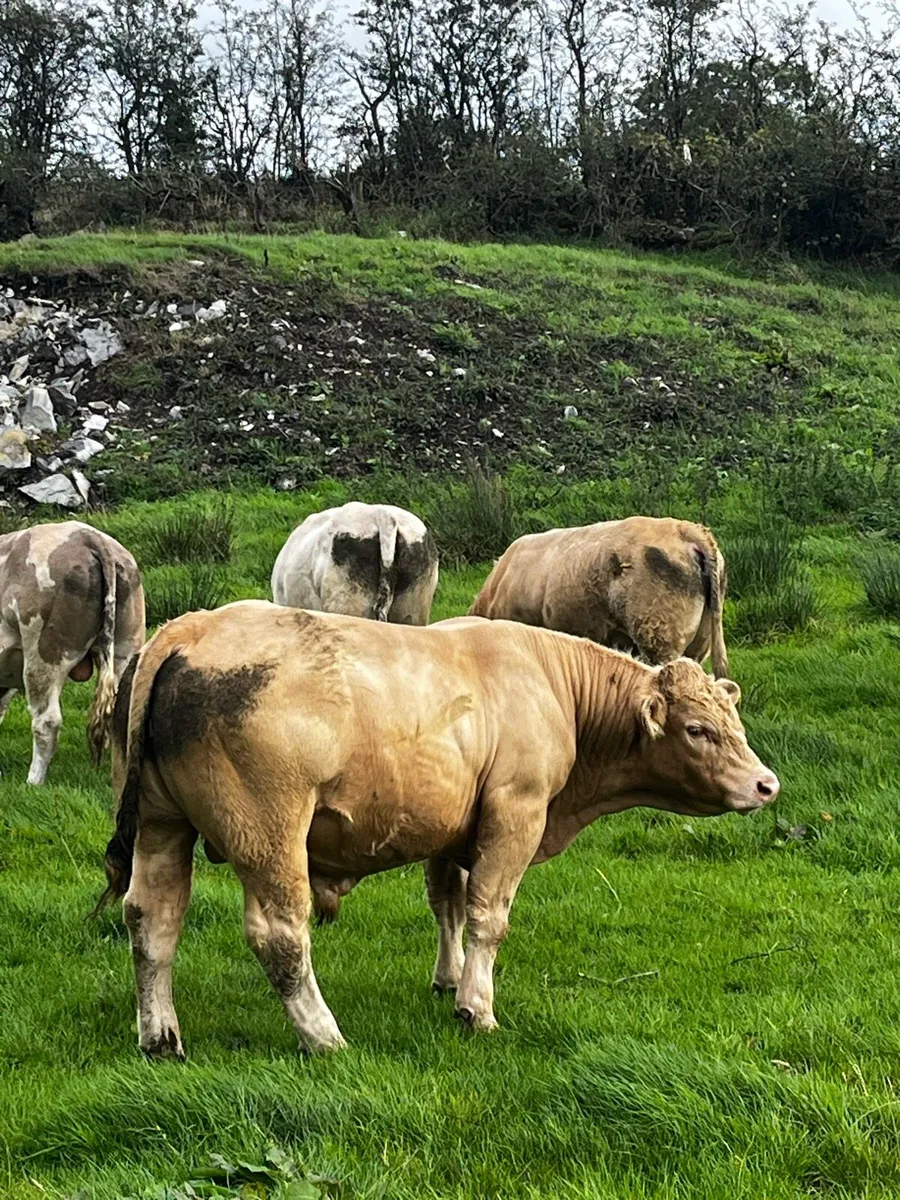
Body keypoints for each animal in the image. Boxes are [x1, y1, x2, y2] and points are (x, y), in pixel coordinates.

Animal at [96, 601, 778, 1058]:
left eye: (734, 721)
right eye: (697, 730)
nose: (766, 784)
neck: (551, 682)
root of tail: (191, 628)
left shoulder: (450, 824)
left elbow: (447, 903)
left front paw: (448, 979)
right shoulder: (516, 813)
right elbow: (488, 916)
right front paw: (476, 1007)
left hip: (161, 824)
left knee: (151, 920)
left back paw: (160, 1035)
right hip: (269, 834)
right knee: (280, 936)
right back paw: (324, 1035)